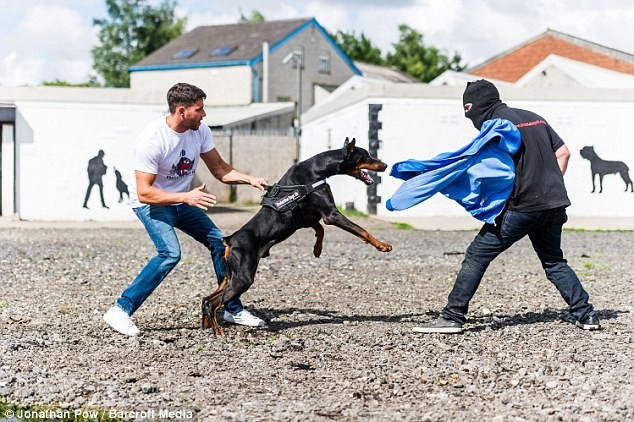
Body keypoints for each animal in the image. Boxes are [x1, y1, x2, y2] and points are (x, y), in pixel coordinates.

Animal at [201, 137, 390, 334]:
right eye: (366, 155)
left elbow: (320, 230)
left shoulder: (306, 218)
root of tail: (230, 241)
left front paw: (317, 250)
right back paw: (218, 331)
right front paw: (383, 245)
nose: (385, 165)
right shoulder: (331, 214)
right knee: (214, 302)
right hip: (243, 277)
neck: (316, 169)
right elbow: (361, 230)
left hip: (229, 276)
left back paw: (207, 325)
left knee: (206, 300)